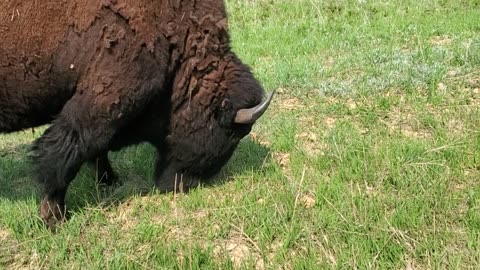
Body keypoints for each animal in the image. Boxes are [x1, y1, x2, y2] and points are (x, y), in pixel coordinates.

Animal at [0, 0, 272, 229]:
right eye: (230, 135)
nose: (185, 187)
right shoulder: (100, 103)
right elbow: (63, 156)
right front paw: (54, 217)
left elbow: (96, 152)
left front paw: (110, 182)